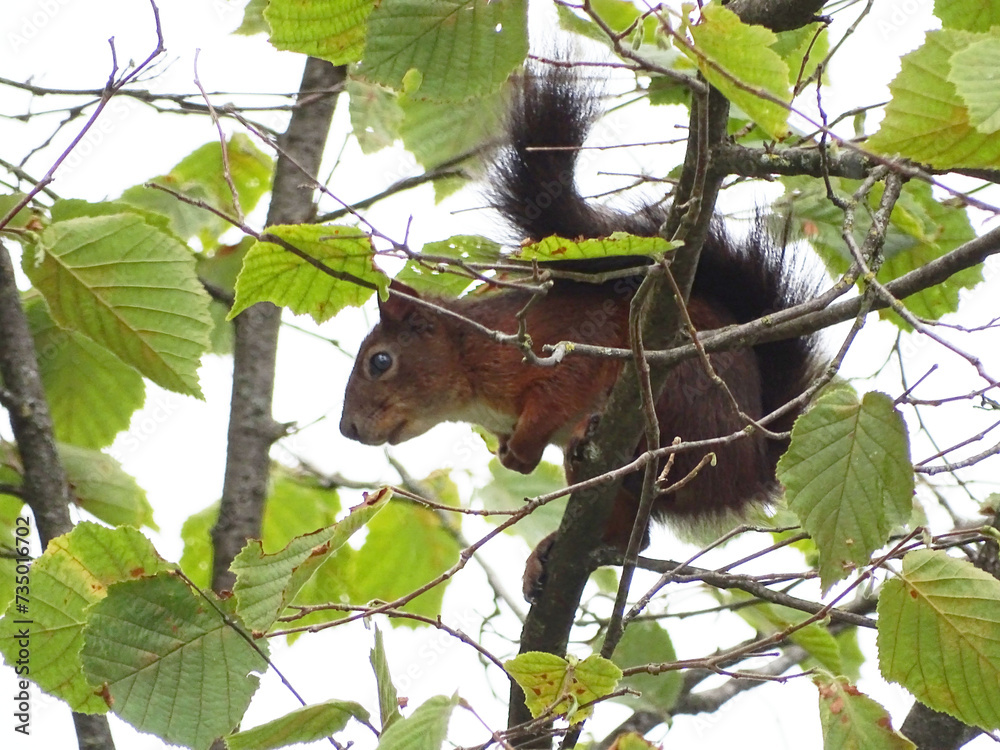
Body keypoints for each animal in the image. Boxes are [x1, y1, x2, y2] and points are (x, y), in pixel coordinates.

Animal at [340, 65, 822, 597]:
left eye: (380, 361)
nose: (348, 429)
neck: (469, 356)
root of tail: (755, 462)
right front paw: (512, 455)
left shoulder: (562, 348)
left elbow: (560, 391)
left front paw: (522, 450)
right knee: (635, 531)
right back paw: (547, 552)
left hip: (682, 399)